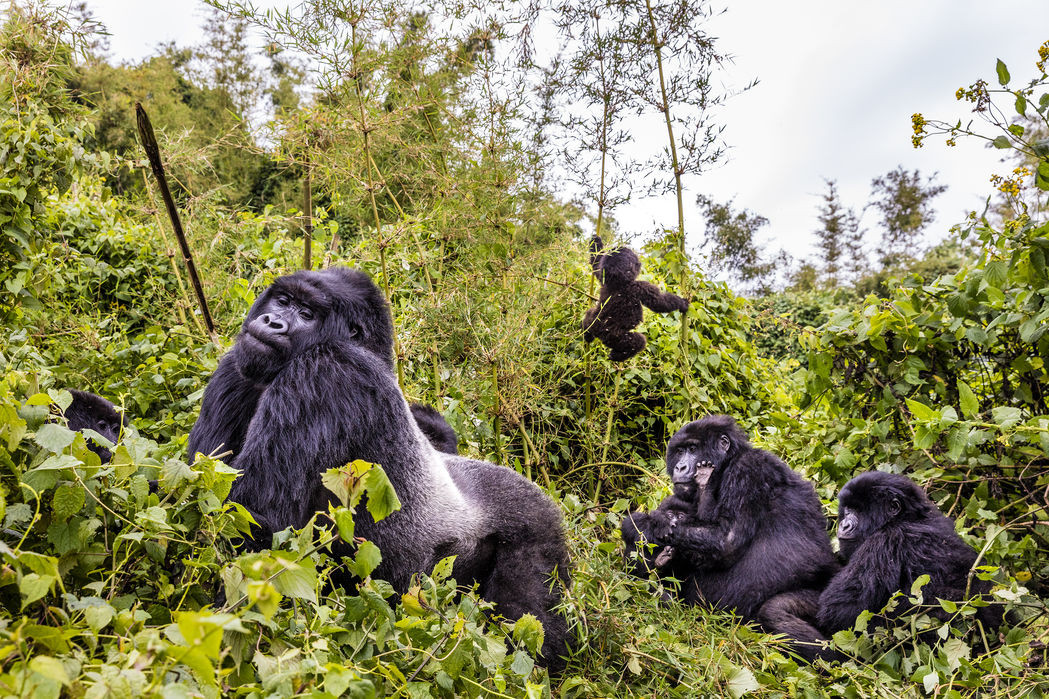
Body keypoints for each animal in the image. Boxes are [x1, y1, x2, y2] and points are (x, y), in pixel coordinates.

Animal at [184, 265, 570, 663]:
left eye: (307, 314)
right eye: (282, 300)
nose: (272, 321)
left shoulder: (328, 367)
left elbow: (254, 517)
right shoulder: (238, 363)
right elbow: (203, 492)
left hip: (538, 525)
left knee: (532, 626)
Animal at [616, 413, 839, 642]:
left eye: (693, 449)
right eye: (679, 452)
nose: (680, 467)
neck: (727, 463)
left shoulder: (747, 470)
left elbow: (726, 541)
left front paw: (648, 523)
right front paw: (647, 524)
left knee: (775, 612)